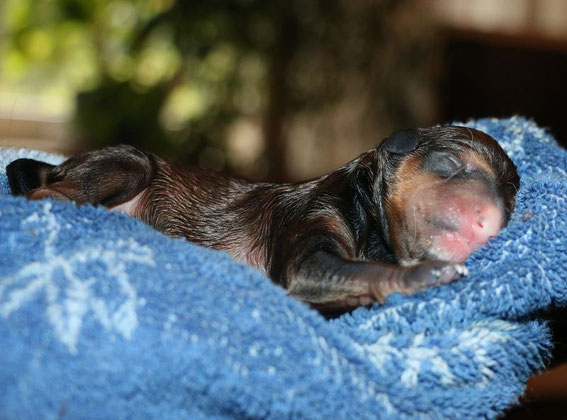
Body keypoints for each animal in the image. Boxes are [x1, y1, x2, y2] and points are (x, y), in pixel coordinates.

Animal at [6, 127, 520, 312]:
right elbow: (359, 269)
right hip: (129, 163)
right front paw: (425, 274)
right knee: (48, 191)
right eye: (449, 164)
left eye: (511, 195)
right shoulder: (311, 228)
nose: (490, 219)